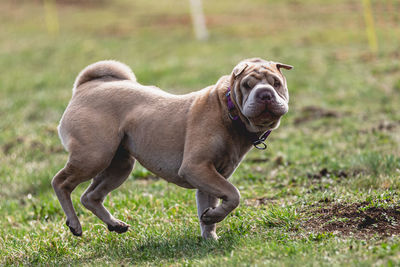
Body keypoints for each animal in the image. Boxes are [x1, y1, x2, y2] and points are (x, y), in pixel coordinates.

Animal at [51, 58, 292, 241]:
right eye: (247, 85)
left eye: (277, 83)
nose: (265, 93)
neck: (228, 109)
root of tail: (86, 87)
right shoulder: (196, 168)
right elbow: (234, 194)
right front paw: (214, 220)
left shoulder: (210, 177)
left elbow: (210, 204)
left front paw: (210, 231)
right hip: (93, 156)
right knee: (60, 182)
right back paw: (74, 223)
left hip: (119, 165)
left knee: (90, 196)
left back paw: (114, 224)